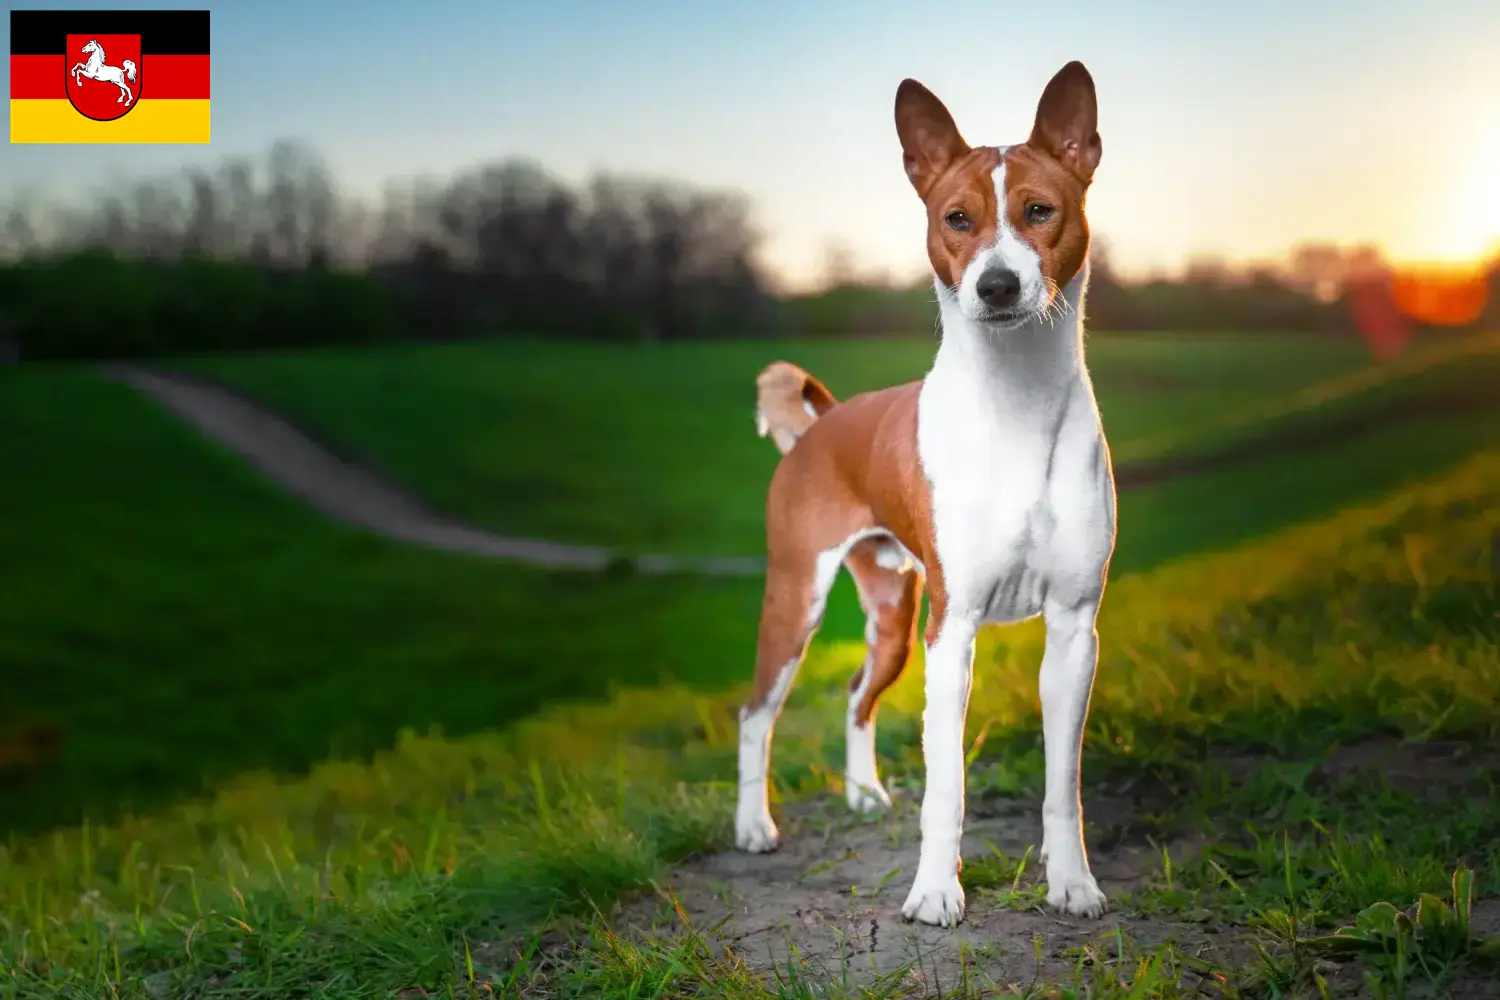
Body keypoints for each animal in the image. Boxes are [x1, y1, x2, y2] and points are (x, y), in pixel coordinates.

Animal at [738, 58, 1116, 929]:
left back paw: (863, 793)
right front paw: (936, 892)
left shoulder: (1073, 630)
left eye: (1040, 211)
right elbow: (947, 790)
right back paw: (753, 827)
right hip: (797, 603)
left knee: (854, 694)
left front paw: (1071, 882)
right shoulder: (956, 629)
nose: (998, 284)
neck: (1016, 404)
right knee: (755, 713)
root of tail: (822, 425)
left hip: (892, 618)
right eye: (957, 219)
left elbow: (1063, 785)